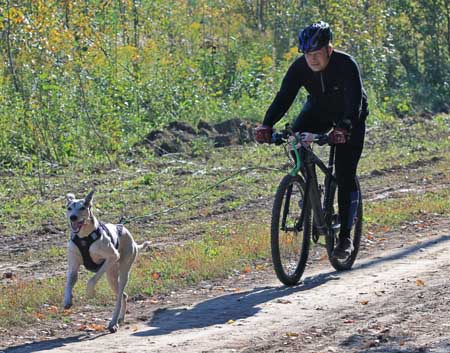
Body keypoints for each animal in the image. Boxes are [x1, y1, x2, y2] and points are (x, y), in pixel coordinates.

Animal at [63, 188, 151, 332]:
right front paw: (67, 300)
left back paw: (113, 322)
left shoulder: (112, 257)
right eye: (69, 208)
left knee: (120, 296)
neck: (84, 237)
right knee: (124, 296)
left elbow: (92, 280)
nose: (73, 217)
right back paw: (120, 318)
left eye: (83, 207)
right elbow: (69, 283)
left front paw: (89, 292)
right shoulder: (73, 266)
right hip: (111, 276)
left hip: (122, 271)